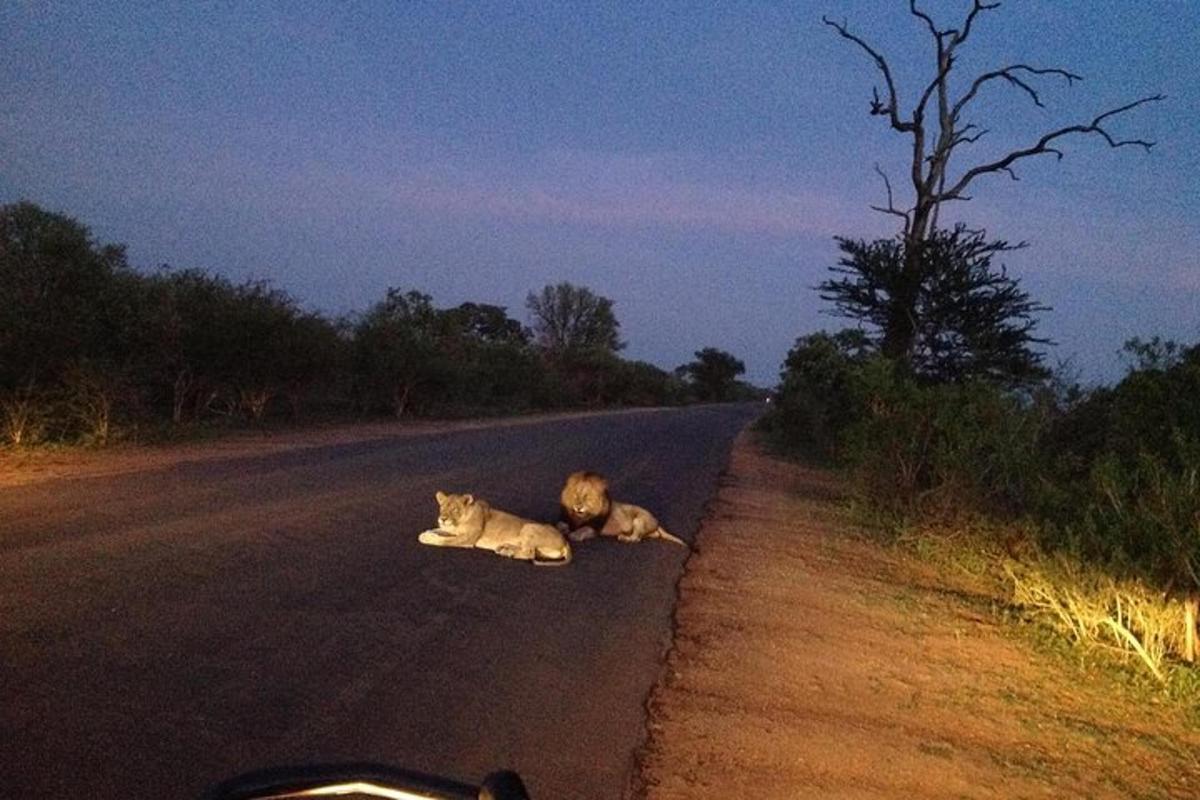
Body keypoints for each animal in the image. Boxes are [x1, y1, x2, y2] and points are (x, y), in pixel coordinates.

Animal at [420, 491, 573, 566]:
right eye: (442, 507)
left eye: (455, 509)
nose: (443, 518)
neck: (458, 522)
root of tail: (565, 541)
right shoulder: (452, 531)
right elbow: (440, 531)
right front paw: (429, 532)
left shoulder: (467, 539)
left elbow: (444, 541)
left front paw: (426, 537)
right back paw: (505, 548)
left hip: (529, 527)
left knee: (529, 553)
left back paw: (508, 553)